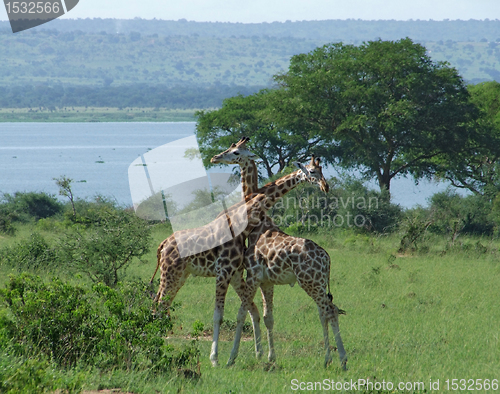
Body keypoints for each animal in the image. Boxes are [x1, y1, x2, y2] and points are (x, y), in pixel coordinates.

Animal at [211, 138, 348, 370]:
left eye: (235, 151)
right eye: (230, 148)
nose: (215, 157)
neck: (258, 224)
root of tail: (327, 258)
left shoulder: (254, 275)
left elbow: (241, 314)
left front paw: (231, 358)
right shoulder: (267, 281)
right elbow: (268, 317)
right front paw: (269, 357)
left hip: (310, 282)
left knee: (328, 310)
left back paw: (337, 359)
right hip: (319, 282)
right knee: (328, 310)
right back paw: (334, 359)